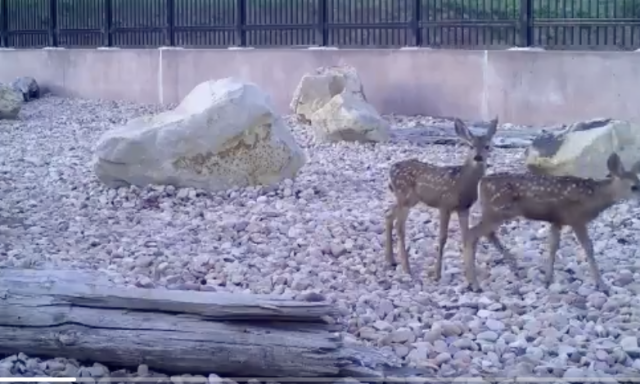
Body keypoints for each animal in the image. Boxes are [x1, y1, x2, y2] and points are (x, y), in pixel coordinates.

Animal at [384, 116, 500, 280]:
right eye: (471, 146)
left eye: (487, 146)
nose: (478, 157)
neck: (462, 182)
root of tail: (391, 170)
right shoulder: (445, 204)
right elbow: (442, 238)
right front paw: (437, 274)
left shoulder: (464, 208)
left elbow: (466, 236)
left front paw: (470, 274)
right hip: (404, 196)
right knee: (400, 227)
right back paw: (407, 268)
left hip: (408, 199)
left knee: (388, 214)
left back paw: (391, 260)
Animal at [460, 153, 640, 294]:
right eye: (634, 187)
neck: (594, 197)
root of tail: (482, 182)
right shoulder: (576, 219)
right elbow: (588, 248)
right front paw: (602, 285)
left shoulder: (557, 220)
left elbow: (553, 246)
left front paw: (547, 279)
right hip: (497, 211)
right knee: (472, 234)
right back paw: (475, 284)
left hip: (494, 213)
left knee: (485, 234)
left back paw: (512, 268)